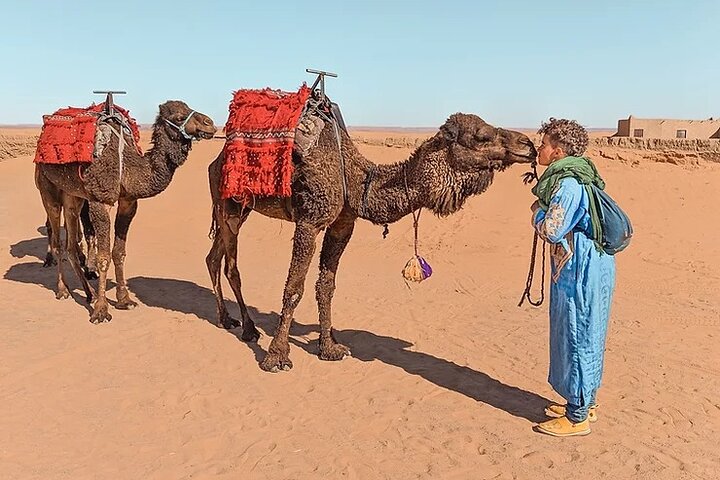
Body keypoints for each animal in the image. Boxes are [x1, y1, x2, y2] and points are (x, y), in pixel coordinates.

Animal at [35, 101, 217, 323]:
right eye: (178, 117)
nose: (210, 123)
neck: (129, 167)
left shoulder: (128, 202)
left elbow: (118, 252)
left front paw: (124, 299)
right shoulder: (99, 200)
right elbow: (104, 256)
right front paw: (101, 310)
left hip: (73, 196)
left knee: (70, 244)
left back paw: (89, 294)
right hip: (47, 188)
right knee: (57, 240)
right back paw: (63, 290)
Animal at [206, 112, 536, 372]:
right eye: (482, 136)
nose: (529, 145)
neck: (354, 179)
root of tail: (216, 159)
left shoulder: (343, 225)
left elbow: (326, 286)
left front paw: (330, 349)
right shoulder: (310, 221)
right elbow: (294, 288)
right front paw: (277, 357)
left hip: (240, 209)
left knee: (213, 257)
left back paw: (227, 319)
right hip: (229, 205)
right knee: (232, 266)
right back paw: (249, 329)